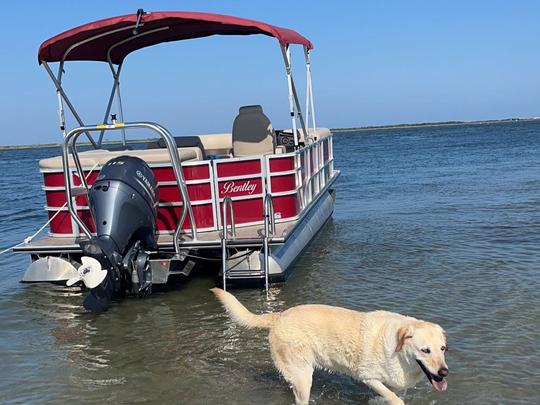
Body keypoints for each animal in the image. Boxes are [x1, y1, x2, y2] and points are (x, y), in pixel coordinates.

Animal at [211, 288, 448, 404]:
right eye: (425, 350)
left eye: (443, 349)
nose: (444, 372)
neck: (398, 353)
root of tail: (279, 316)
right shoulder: (368, 377)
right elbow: (395, 400)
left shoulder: (394, 384)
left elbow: (392, 395)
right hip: (303, 375)